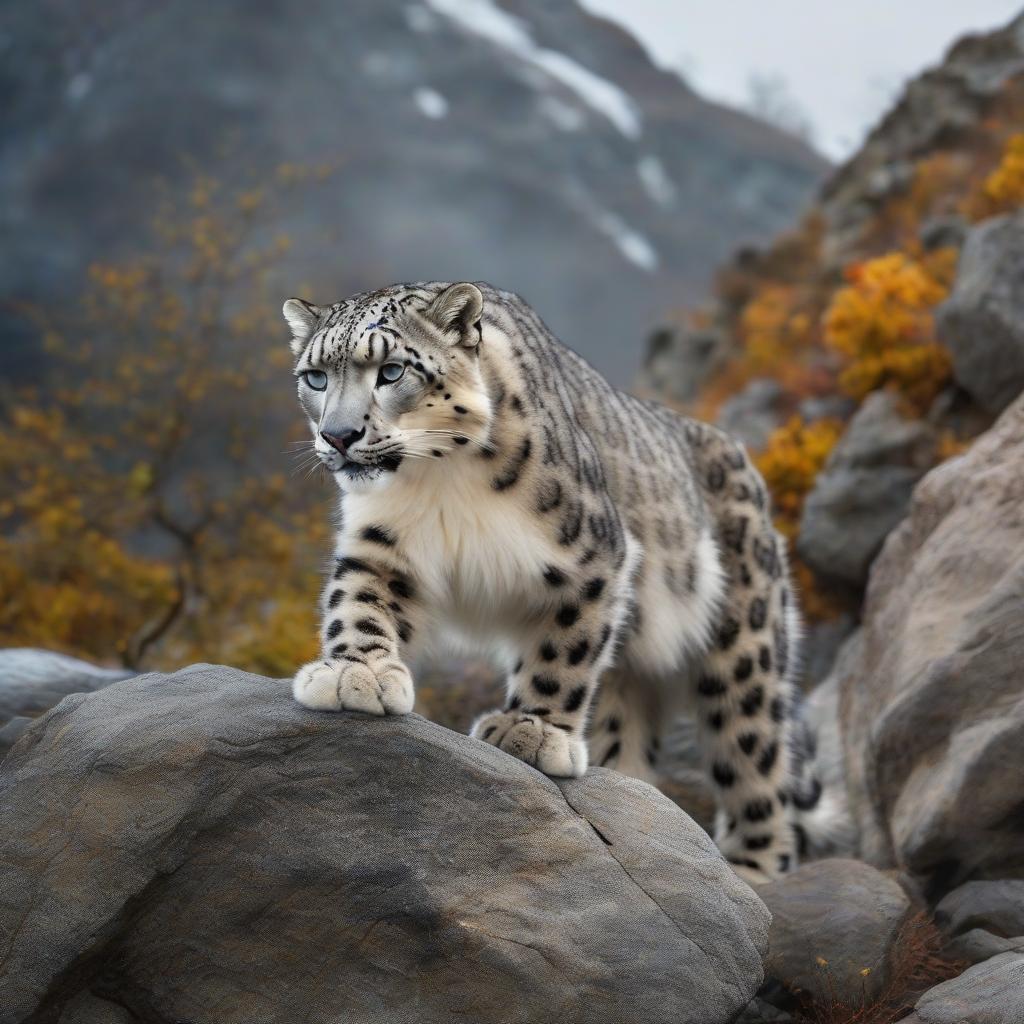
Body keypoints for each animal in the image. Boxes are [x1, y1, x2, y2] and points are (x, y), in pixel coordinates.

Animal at [284, 278, 843, 880]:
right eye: (316, 376)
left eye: (390, 371)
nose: (338, 436)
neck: (437, 482)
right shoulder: (381, 547)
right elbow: (358, 605)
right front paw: (354, 674)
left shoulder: (595, 553)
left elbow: (563, 652)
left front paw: (532, 731)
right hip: (630, 678)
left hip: (745, 649)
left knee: (754, 758)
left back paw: (749, 872)